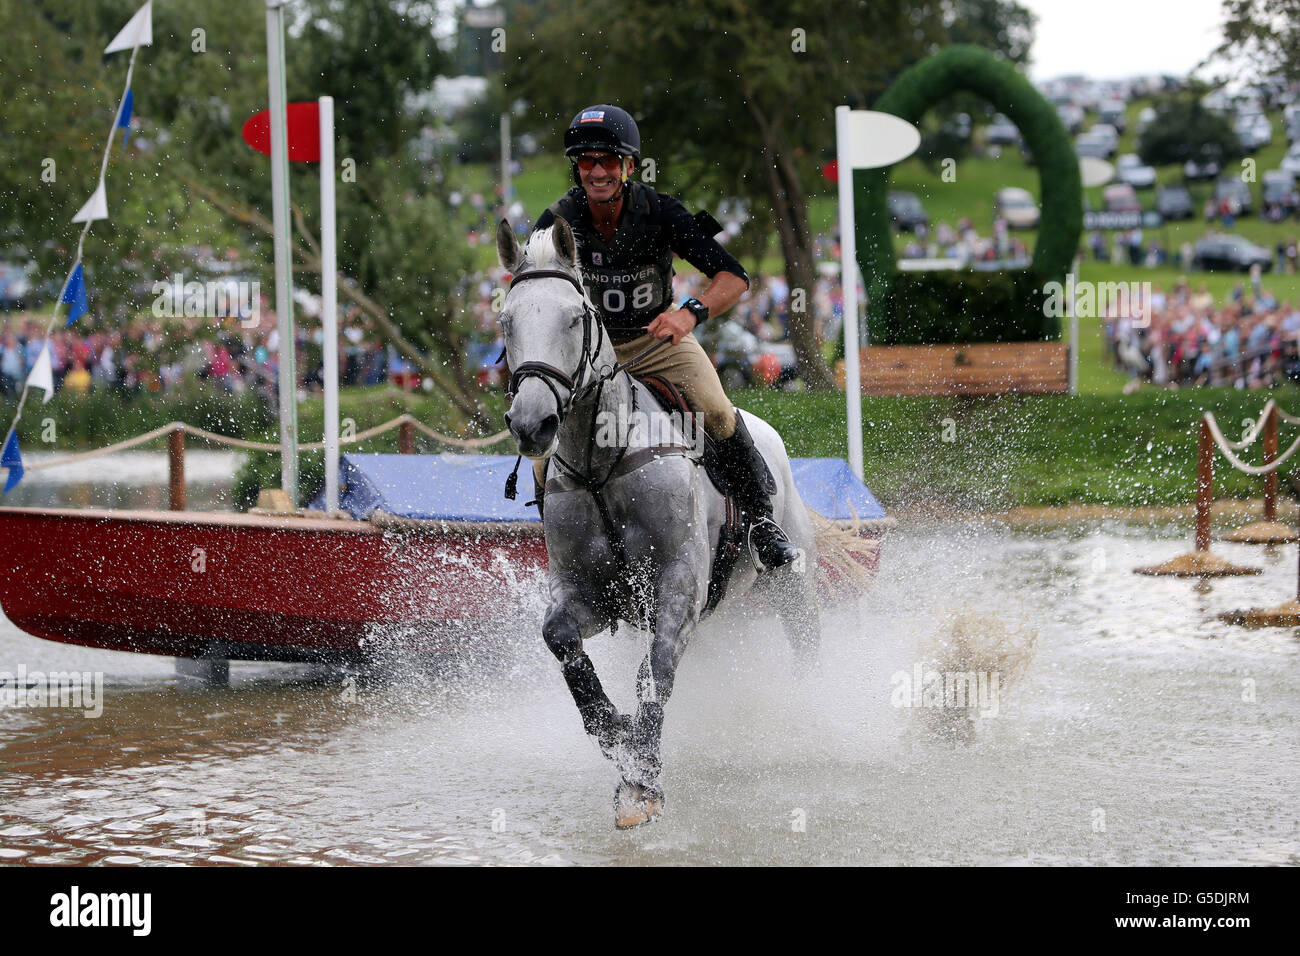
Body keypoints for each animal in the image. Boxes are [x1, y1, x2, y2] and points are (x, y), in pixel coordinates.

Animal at [496, 217, 821, 832]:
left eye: (575, 317)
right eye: (505, 321)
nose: (531, 424)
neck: (602, 462)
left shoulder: (678, 586)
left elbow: (656, 672)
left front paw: (642, 782)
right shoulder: (591, 594)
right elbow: (562, 639)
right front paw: (615, 733)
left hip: (791, 583)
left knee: (805, 641)